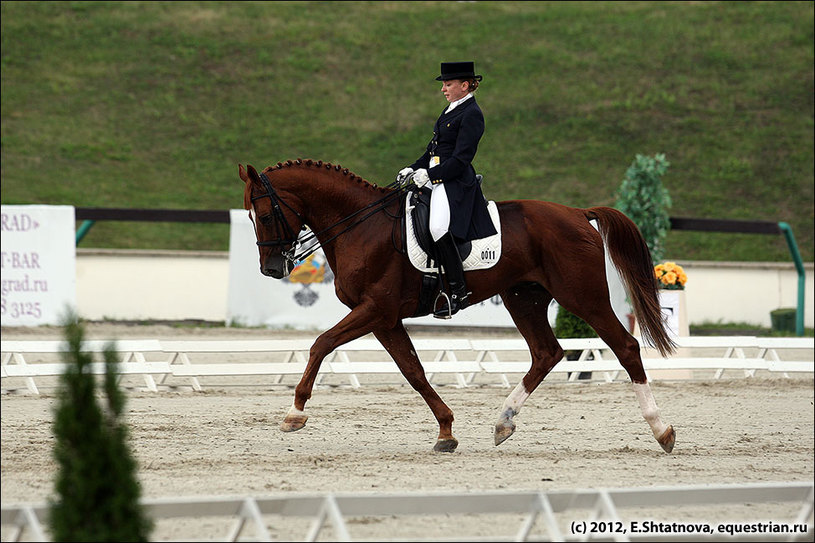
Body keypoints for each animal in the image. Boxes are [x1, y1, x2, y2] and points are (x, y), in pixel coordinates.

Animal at [239, 158, 680, 454]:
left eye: (265, 213)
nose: (271, 268)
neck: (359, 226)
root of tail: (576, 212)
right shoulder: (385, 319)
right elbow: (414, 372)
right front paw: (446, 432)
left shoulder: (375, 310)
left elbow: (321, 345)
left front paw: (294, 413)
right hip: (524, 298)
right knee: (546, 353)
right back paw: (503, 423)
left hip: (583, 296)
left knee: (625, 347)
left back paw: (662, 430)